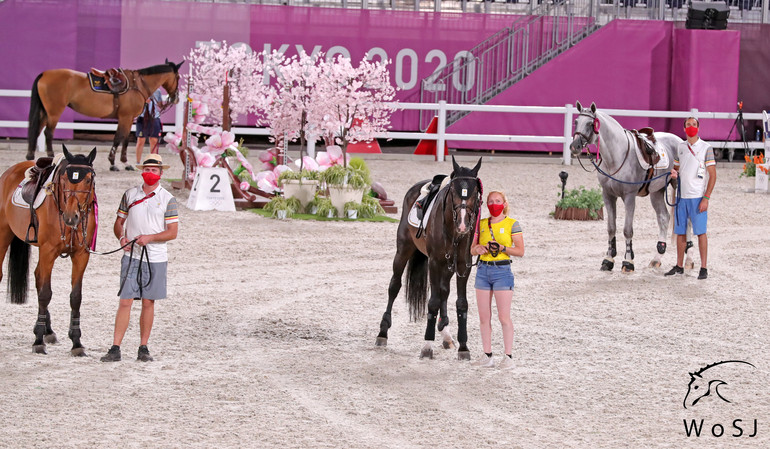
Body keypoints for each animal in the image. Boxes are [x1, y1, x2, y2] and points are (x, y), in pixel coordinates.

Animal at [0, 145, 99, 356]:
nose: (71, 216)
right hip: (3, 235)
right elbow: (46, 293)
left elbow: (75, 297)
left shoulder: (81, 255)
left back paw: (49, 330)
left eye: (88, 179)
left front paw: (76, 342)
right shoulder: (48, 252)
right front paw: (38, 340)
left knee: (38, 276)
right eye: (64, 179)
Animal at [26, 59, 183, 170]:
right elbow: (118, 138)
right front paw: (113, 163)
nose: (175, 98)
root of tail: (44, 74)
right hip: (54, 112)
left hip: (45, 112)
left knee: (37, 131)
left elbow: (125, 139)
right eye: (178, 77)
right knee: (48, 133)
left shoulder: (129, 118)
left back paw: (30, 156)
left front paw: (125, 163)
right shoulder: (125, 117)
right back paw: (51, 157)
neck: (137, 85)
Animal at [374, 156, 480, 358]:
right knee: (394, 286)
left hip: (448, 265)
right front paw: (427, 346)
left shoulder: (463, 265)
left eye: (475, 192)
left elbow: (461, 303)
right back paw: (382, 333)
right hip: (404, 249)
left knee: (444, 291)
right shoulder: (434, 262)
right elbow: (432, 302)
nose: (463, 225)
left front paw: (463, 347)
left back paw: (446, 334)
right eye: (453, 191)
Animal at [568, 100, 688, 272]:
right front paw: (608, 259)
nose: (574, 146)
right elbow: (611, 228)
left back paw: (689, 261)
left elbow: (627, 230)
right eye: (576, 122)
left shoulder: (629, 197)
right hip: (657, 192)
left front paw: (628, 262)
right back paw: (656, 258)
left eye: (591, 124)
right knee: (664, 217)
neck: (616, 157)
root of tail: (680, 140)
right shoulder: (608, 195)